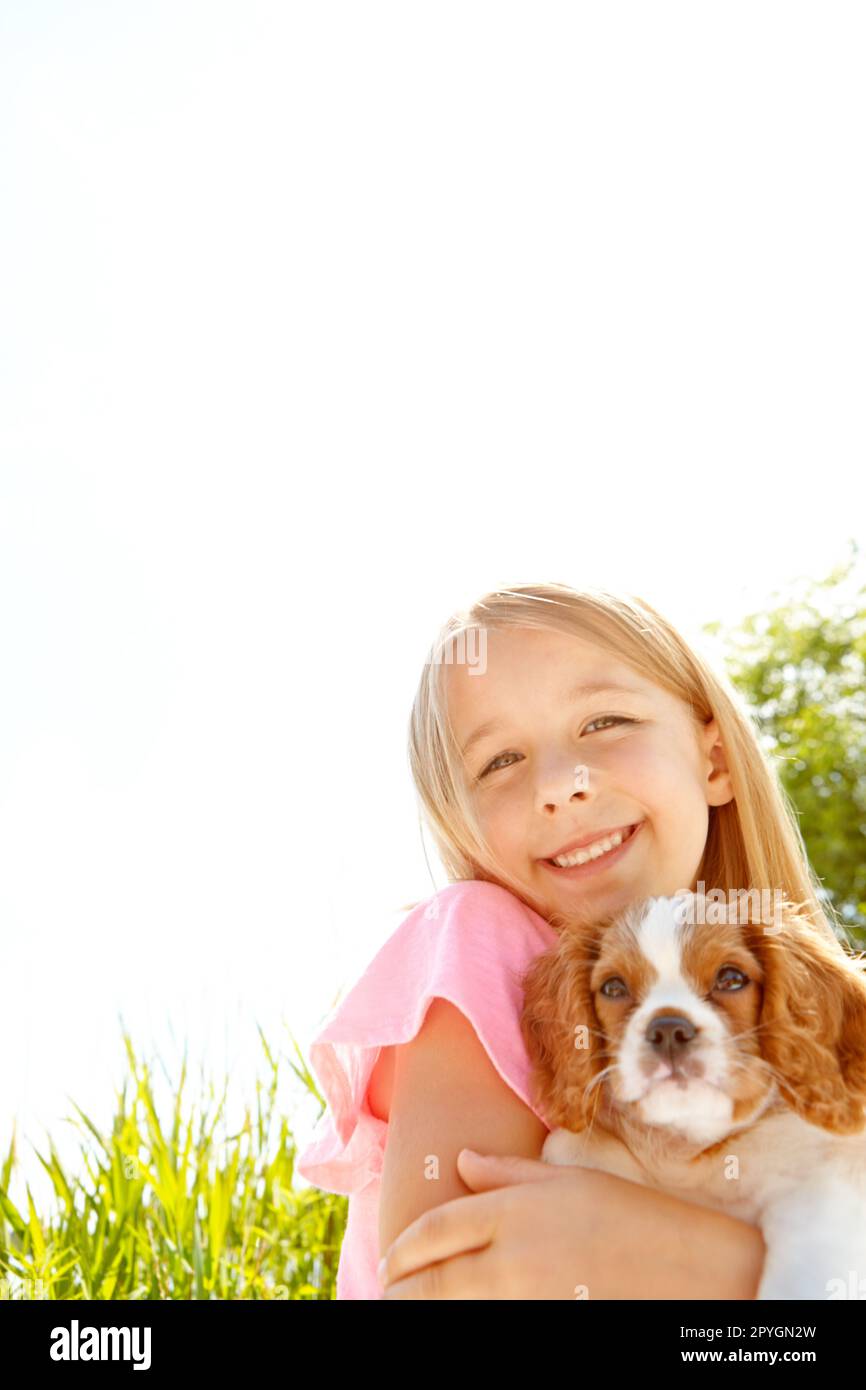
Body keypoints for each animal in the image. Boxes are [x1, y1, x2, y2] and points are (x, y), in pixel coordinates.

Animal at [522, 895, 866, 1295]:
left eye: (731, 979)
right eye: (613, 988)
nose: (669, 1029)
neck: (688, 1150)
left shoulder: (822, 1189)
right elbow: (570, 1145)